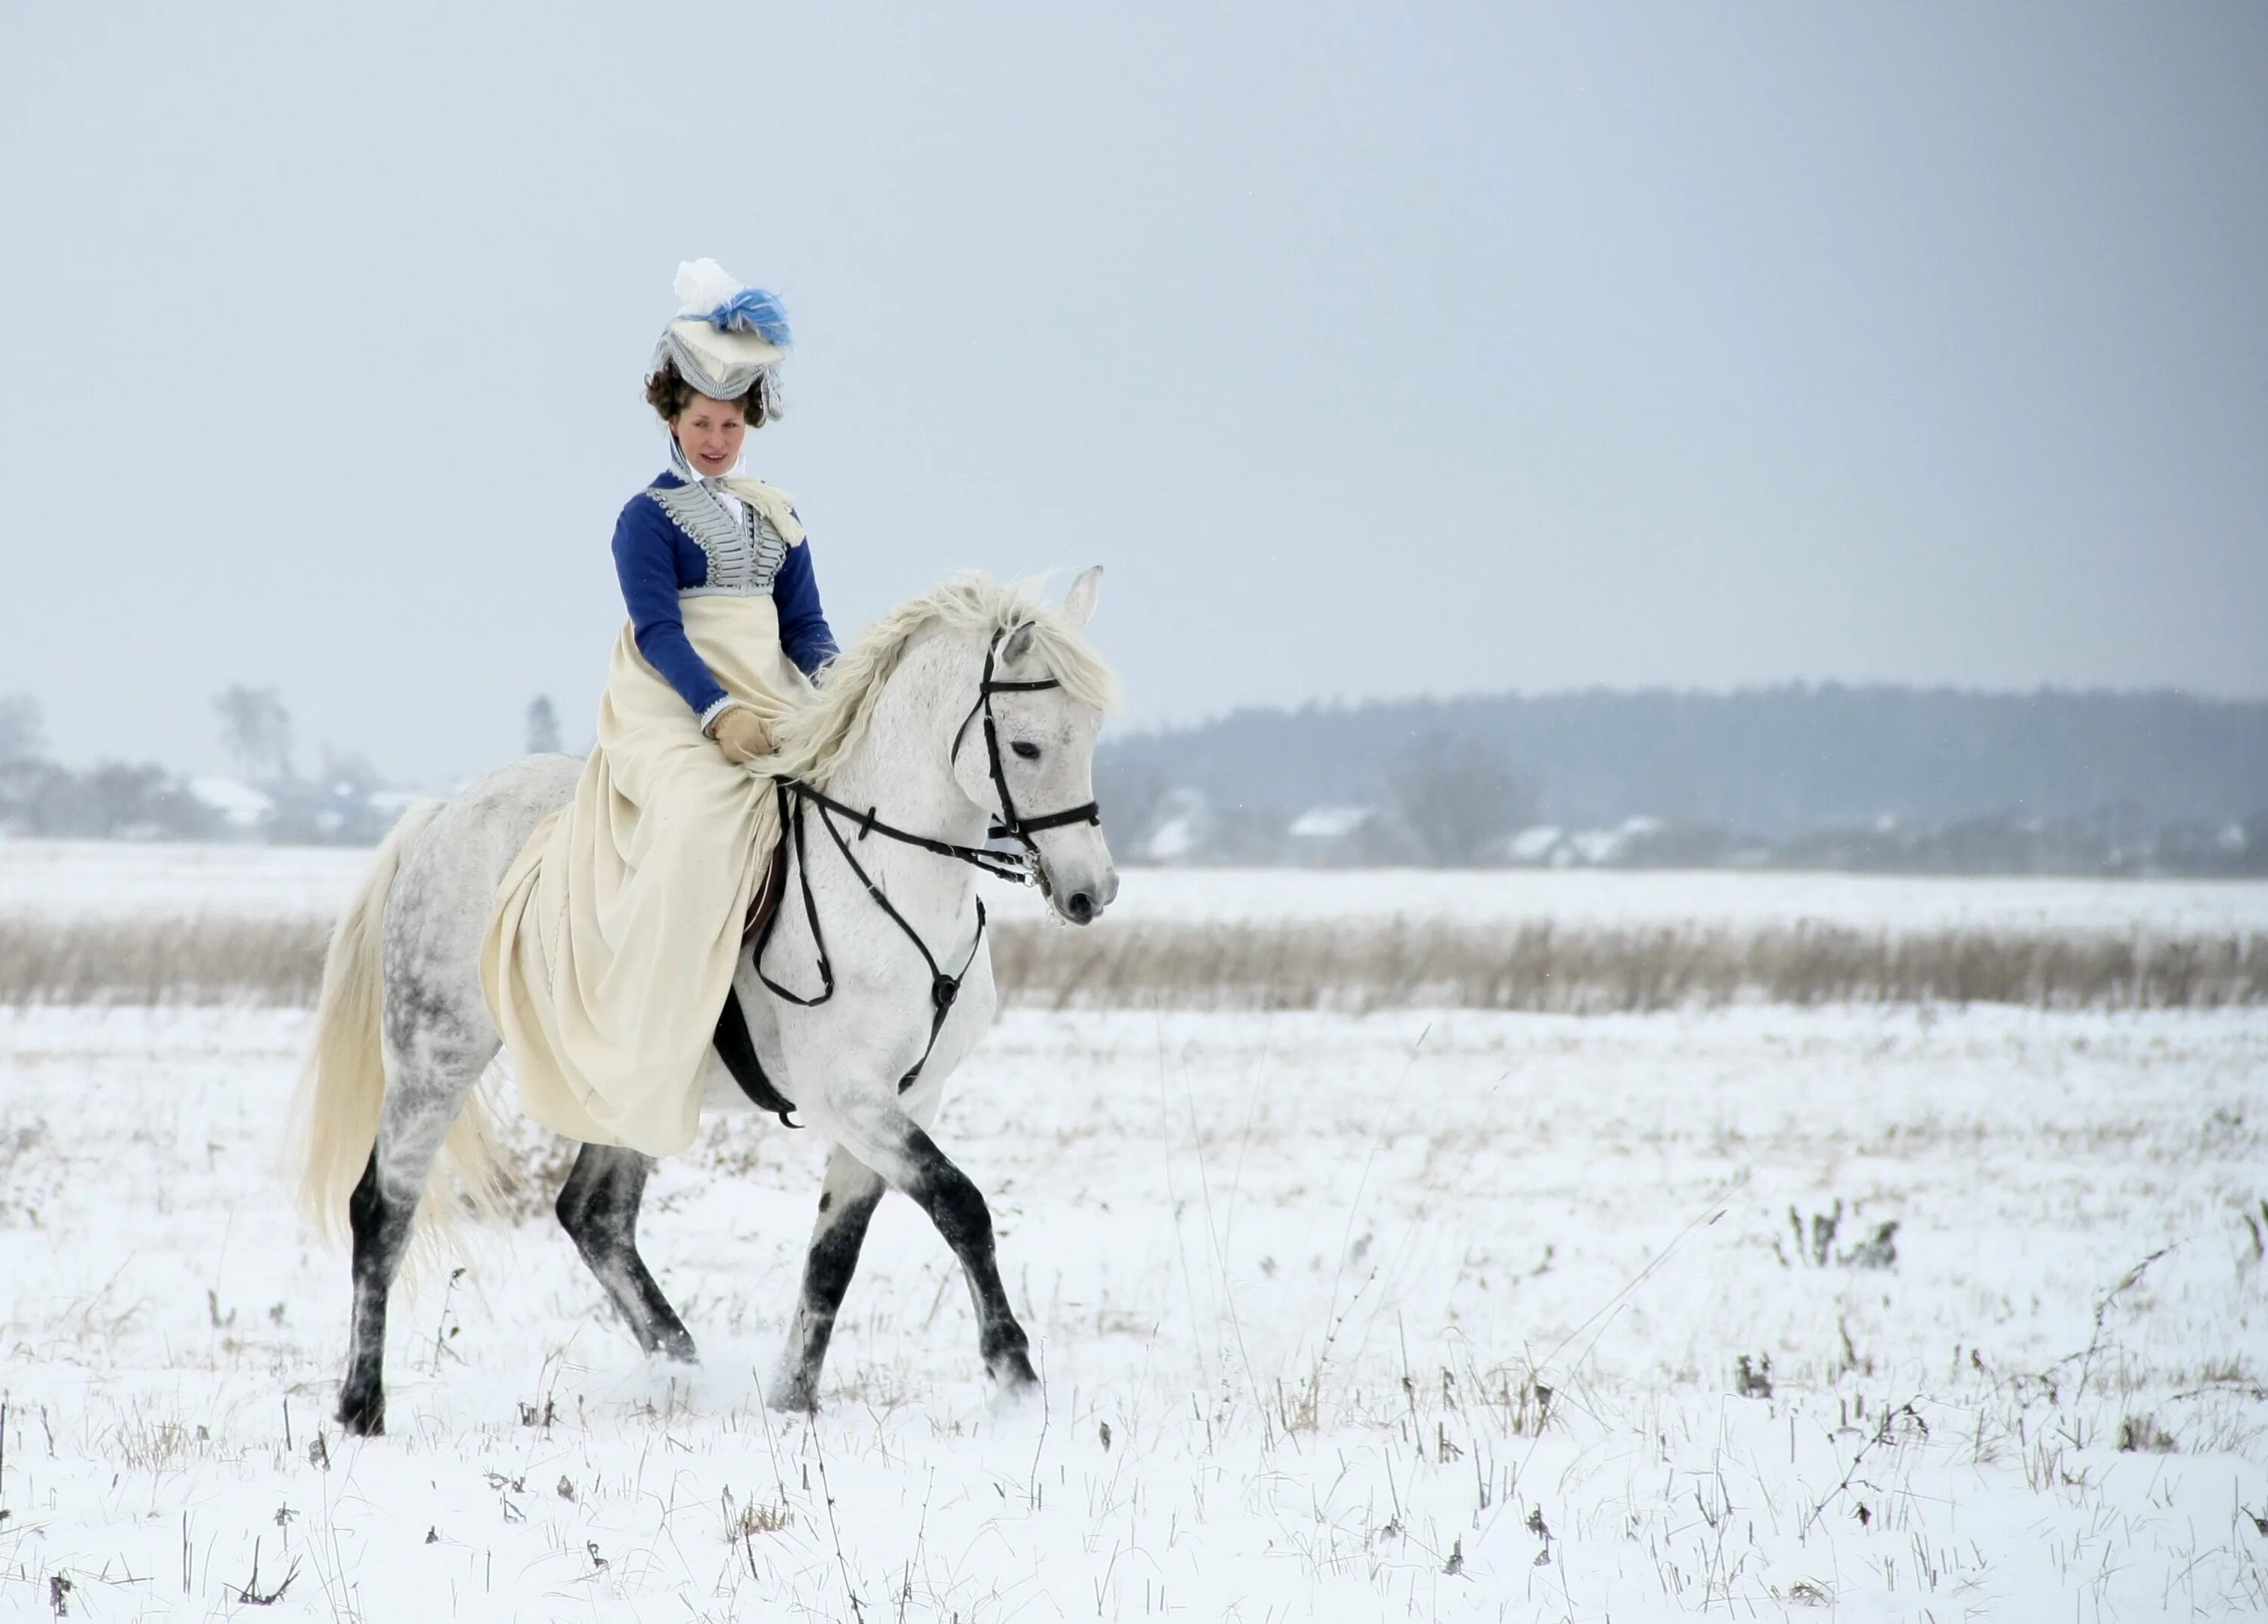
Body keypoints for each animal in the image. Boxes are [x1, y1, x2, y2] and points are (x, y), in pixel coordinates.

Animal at [288, 572, 1120, 1433]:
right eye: (1026, 746)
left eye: (1092, 734)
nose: (1091, 892)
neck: (892, 883)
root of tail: (444, 816)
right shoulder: (848, 1096)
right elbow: (960, 1203)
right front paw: (1014, 1375)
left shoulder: (906, 1097)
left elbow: (834, 1254)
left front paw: (793, 1401)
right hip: (435, 1054)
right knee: (383, 1207)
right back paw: (360, 1407)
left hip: (629, 1084)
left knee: (594, 1215)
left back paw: (681, 1370)